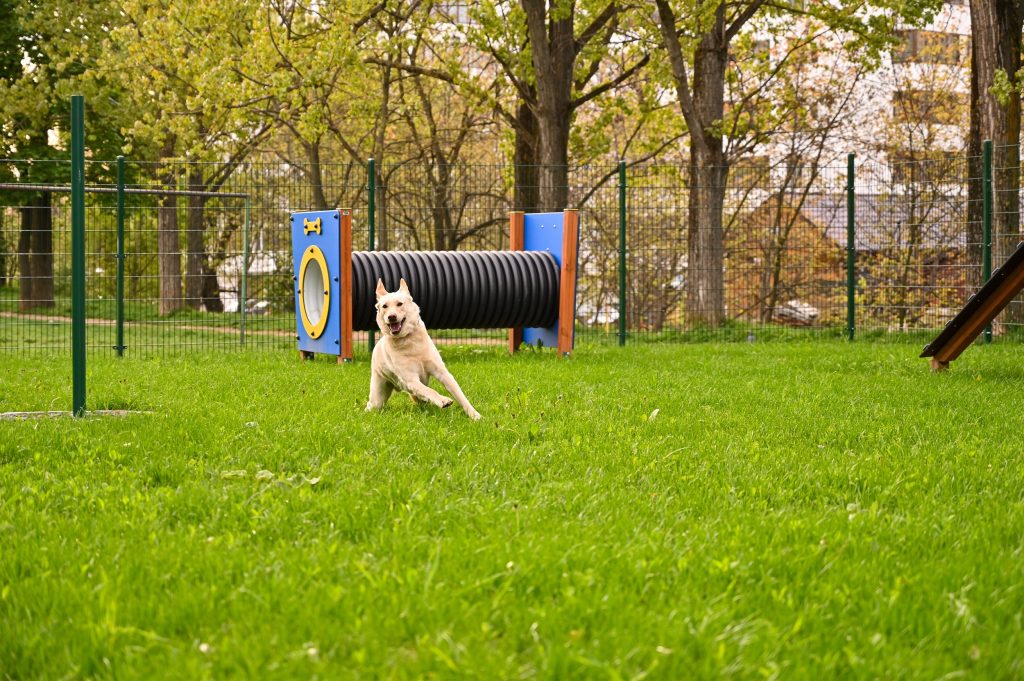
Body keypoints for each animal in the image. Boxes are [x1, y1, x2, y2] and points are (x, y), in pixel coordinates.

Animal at [366, 278, 481, 419]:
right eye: (384, 306)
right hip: (378, 396)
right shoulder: (411, 380)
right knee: (372, 405)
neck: (409, 340)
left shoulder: (443, 373)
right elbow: (430, 391)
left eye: (399, 304)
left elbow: (460, 395)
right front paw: (443, 400)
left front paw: (475, 416)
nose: (391, 317)